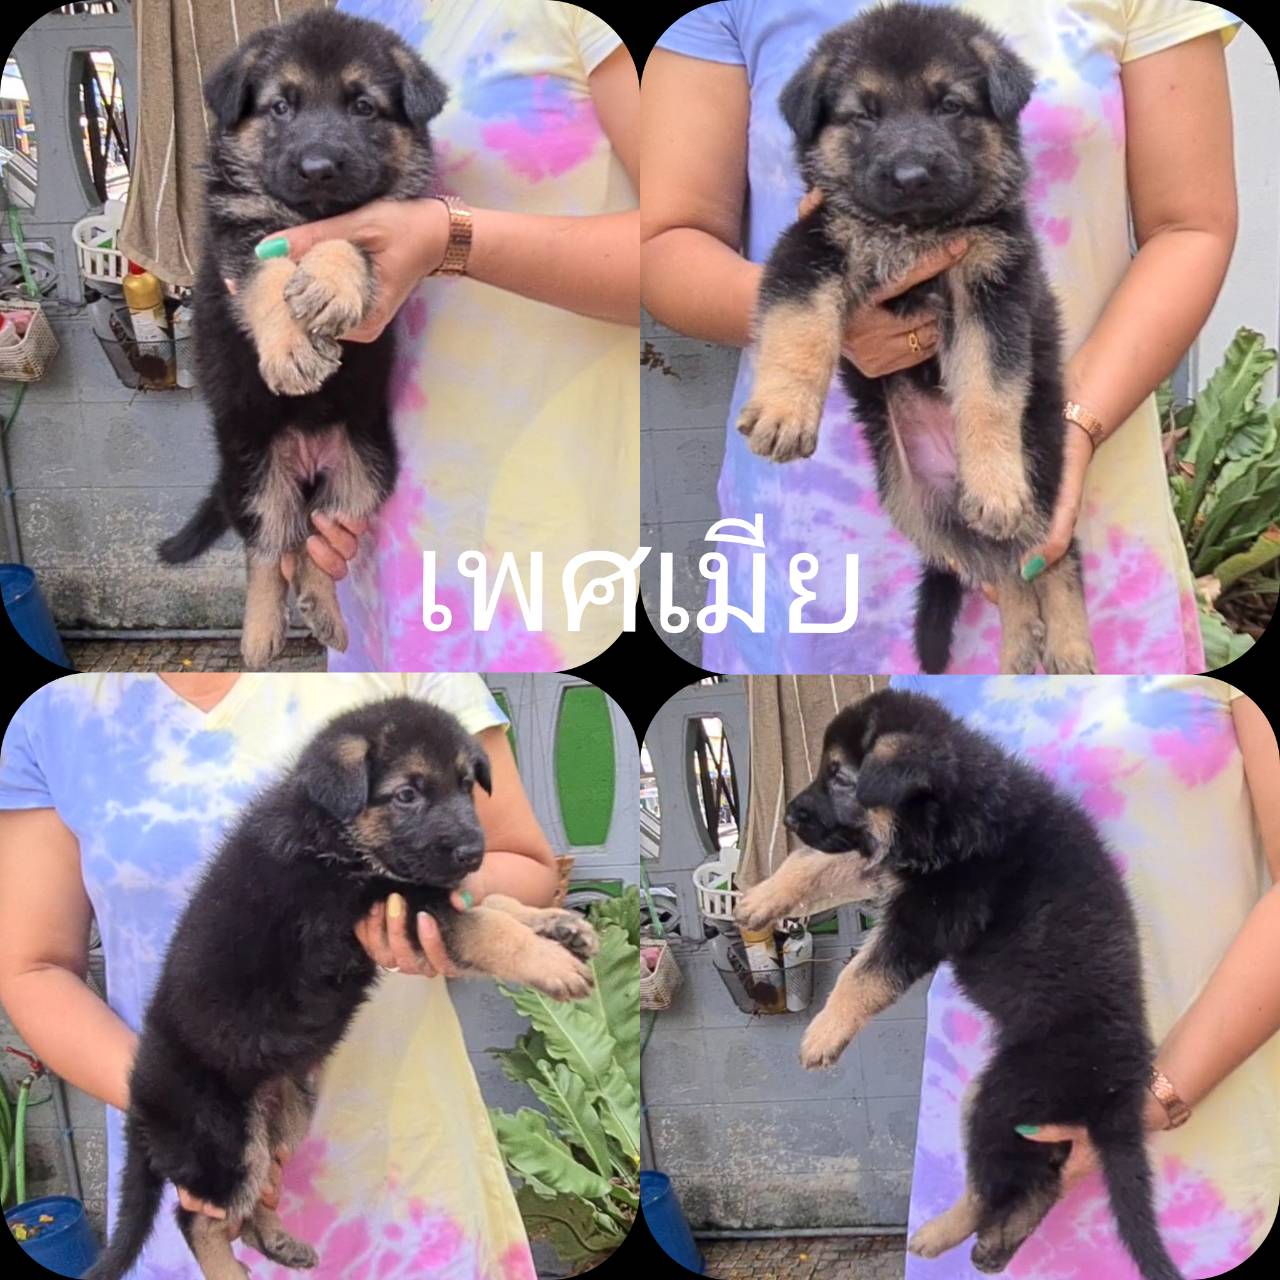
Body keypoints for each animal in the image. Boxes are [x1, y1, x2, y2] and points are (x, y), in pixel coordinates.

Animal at [87, 697, 599, 1280]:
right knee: (198, 1219)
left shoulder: (421, 898)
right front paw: (550, 962)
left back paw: (279, 1242)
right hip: (225, 1140)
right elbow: (490, 927)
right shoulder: (403, 907)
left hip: (281, 1119)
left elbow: (497, 905)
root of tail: (140, 1104)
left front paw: (559, 927)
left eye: (467, 785)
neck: (335, 833)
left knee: (251, 1204)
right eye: (407, 794)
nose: (474, 853)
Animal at [158, 9, 448, 668]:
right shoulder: (239, 241)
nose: (318, 169)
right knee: (268, 550)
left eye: (363, 107)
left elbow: (348, 239)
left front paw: (330, 283)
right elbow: (270, 274)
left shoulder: (377, 229)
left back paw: (323, 610)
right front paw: (291, 349)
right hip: (252, 475)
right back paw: (261, 632)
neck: (307, 211)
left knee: (315, 540)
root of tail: (308, 456)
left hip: (366, 470)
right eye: (281, 107)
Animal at [735, 690, 1180, 1280]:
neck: (956, 807)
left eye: (839, 777)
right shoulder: (893, 866)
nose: (788, 814)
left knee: (1015, 1182)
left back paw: (954, 1233)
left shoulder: (926, 918)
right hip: (1010, 1107)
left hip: (1004, 1096)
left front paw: (824, 1033)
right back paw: (982, 1241)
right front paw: (762, 899)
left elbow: (861, 974)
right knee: (1037, 1177)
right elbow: (813, 864)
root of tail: (1123, 1090)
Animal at [737, 3, 1094, 676]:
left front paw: (995, 482)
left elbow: (987, 392)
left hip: (1041, 464)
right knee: (1000, 567)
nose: (911, 176)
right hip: (911, 502)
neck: (911, 234)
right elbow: (799, 329)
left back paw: (1066, 641)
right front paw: (784, 411)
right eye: (864, 114)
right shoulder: (812, 246)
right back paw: (1017, 645)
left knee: (1049, 555)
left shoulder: (991, 291)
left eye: (949, 105)